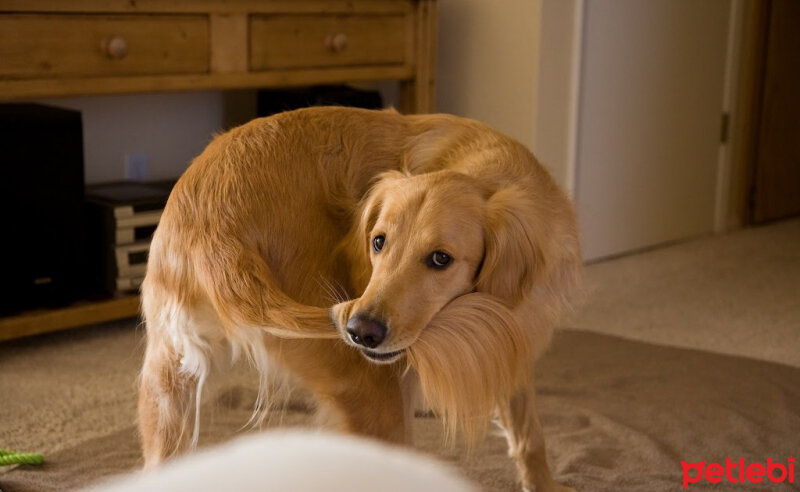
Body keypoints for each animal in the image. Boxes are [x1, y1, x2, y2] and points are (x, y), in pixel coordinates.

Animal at [139, 105, 580, 490]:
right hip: (369, 389)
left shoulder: (514, 344)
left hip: (168, 383)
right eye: (378, 242)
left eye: (441, 259)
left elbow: (528, 434)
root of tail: (211, 219)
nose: (360, 331)